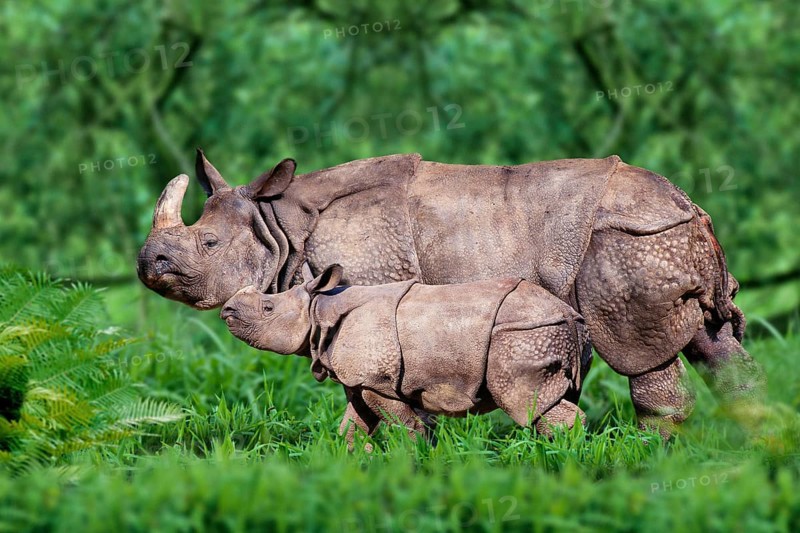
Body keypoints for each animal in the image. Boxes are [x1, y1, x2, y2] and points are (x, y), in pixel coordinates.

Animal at [221, 264, 592, 445]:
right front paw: (348, 459)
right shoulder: (360, 380)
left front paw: (419, 458)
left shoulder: (377, 380)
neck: (318, 310)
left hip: (522, 335)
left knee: (523, 402)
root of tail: (570, 315)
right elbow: (352, 426)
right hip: (553, 332)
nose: (226, 310)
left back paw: (562, 460)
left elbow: (405, 425)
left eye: (267, 309)